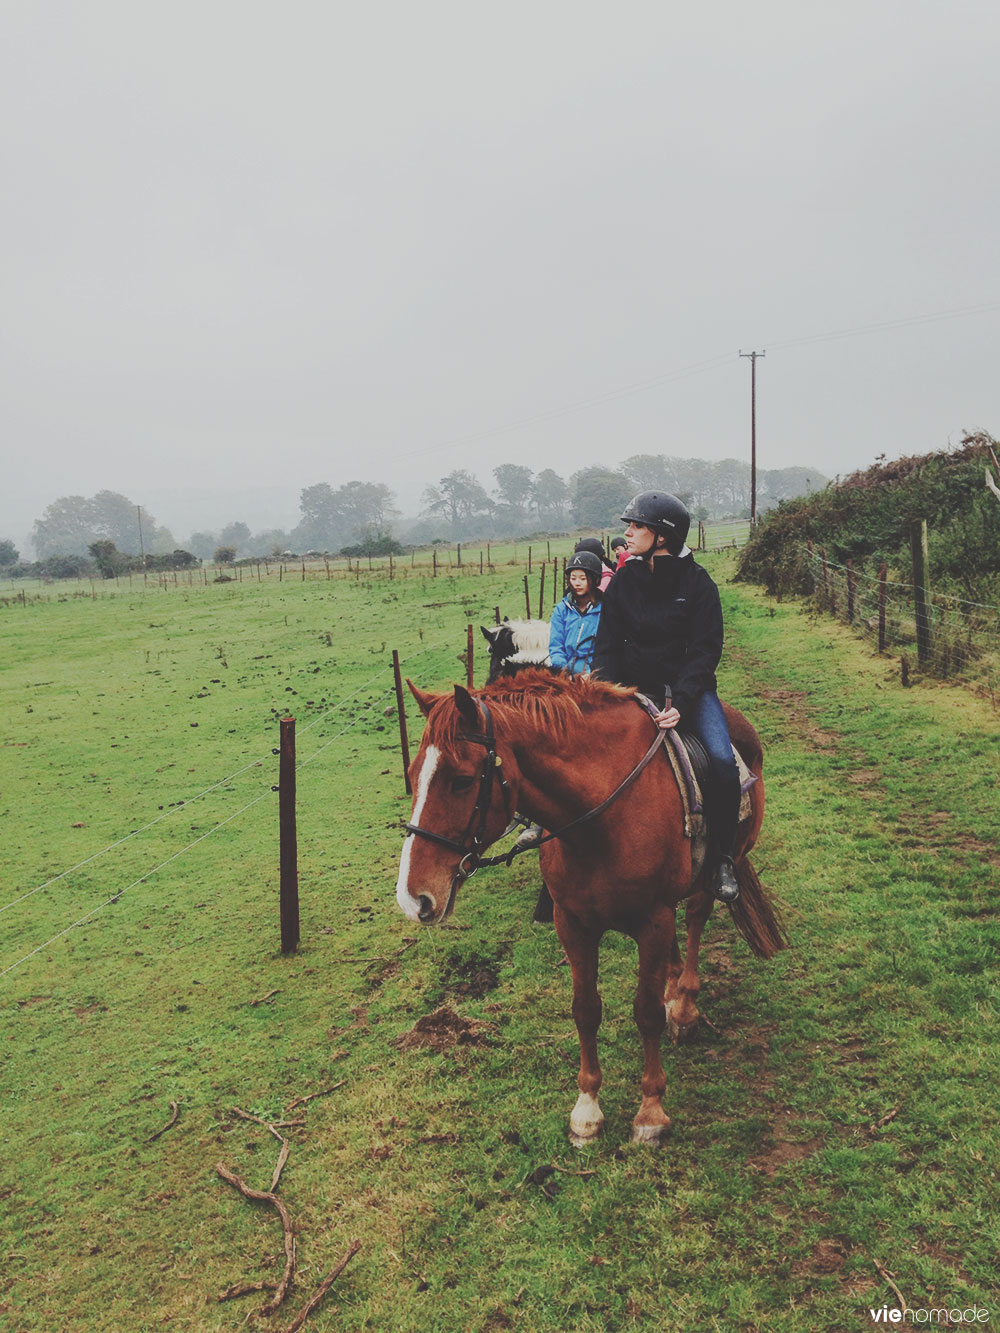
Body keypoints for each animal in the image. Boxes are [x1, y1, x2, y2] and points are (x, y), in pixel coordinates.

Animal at [394, 671, 789, 1141]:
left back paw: (685, 1004)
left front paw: (650, 1112)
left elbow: (646, 1013)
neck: (602, 821)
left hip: (709, 878)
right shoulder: (573, 923)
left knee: (695, 917)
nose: (413, 897)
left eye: (461, 780)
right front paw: (587, 1108)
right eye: (413, 775)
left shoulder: (652, 921)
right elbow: (585, 1011)